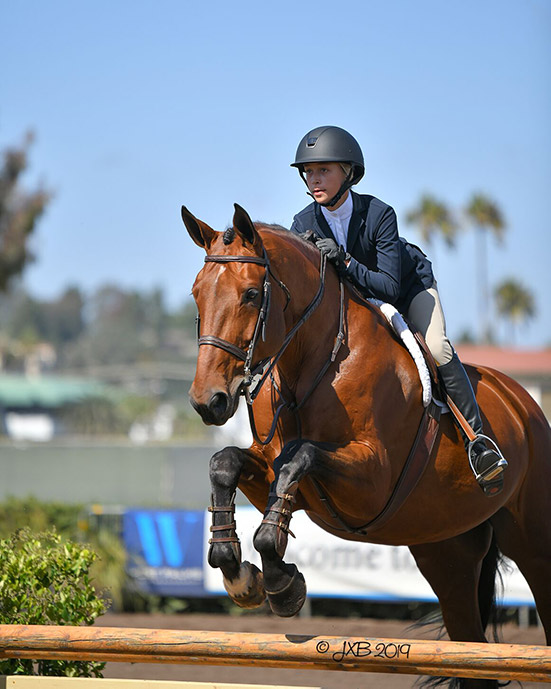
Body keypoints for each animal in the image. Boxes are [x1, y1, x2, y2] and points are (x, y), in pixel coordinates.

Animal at [183, 202, 551, 684]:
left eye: (249, 294)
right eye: (196, 295)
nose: (208, 401)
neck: (311, 360)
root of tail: (524, 403)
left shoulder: (372, 482)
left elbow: (297, 458)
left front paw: (281, 582)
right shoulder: (273, 472)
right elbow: (226, 463)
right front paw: (239, 572)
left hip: (535, 544)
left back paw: (486, 457)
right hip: (446, 552)